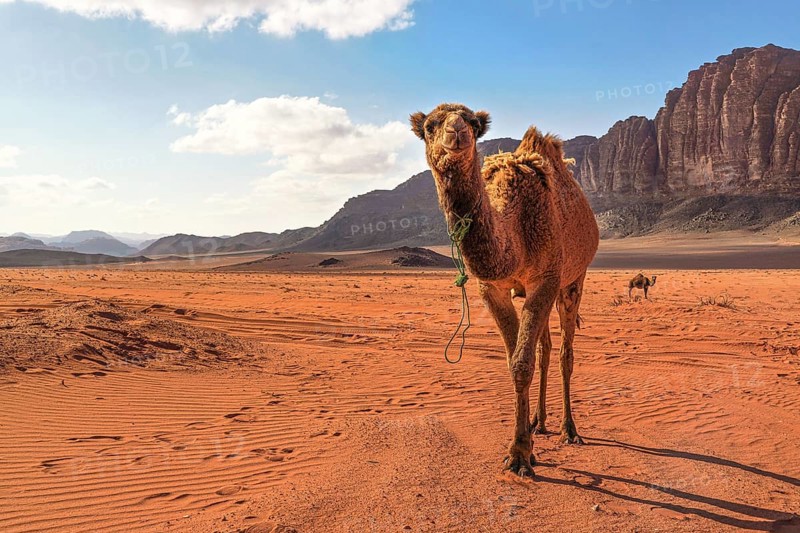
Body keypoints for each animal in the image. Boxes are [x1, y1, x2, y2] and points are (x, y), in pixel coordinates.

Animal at [410, 103, 599, 477]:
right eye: (429, 126)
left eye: (473, 122)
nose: (456, 131)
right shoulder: (493, 289)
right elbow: (516, 361)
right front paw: (524, 444)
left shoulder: (546, 278)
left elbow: (522, 365)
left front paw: (520, 456)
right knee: (545, 348)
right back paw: (539, 422)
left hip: (573, 279)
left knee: (564, 353)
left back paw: (568, 430)